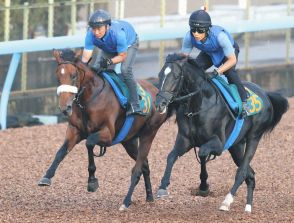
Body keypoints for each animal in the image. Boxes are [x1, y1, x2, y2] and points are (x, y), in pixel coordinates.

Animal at [38, 48, 167, 211]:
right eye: (57, 76)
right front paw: (46, 176)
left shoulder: (108, 134)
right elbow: (61, 152)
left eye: (73, 75)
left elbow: (89, 143)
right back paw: (149, 196)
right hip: (129, 141)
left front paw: (92, 181)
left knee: (141, 162)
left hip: (149, 133)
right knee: (144, 164)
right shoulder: (75, 130)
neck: (89, 99)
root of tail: (157, 91)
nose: (65, 108)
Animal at [155, 53, 288, 213]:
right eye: (160, 75)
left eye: (175, 76)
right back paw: (248, 207)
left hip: (254, 137)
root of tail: (265, 94)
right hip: (236, 146)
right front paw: (163, 187)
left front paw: (204, 186)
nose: (160, 104)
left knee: (242, 172)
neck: (199, 105)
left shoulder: (218, 144)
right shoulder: (185, 140)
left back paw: (227, 201)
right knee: (250, 174)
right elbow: (171, 156)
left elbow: (203, 153)